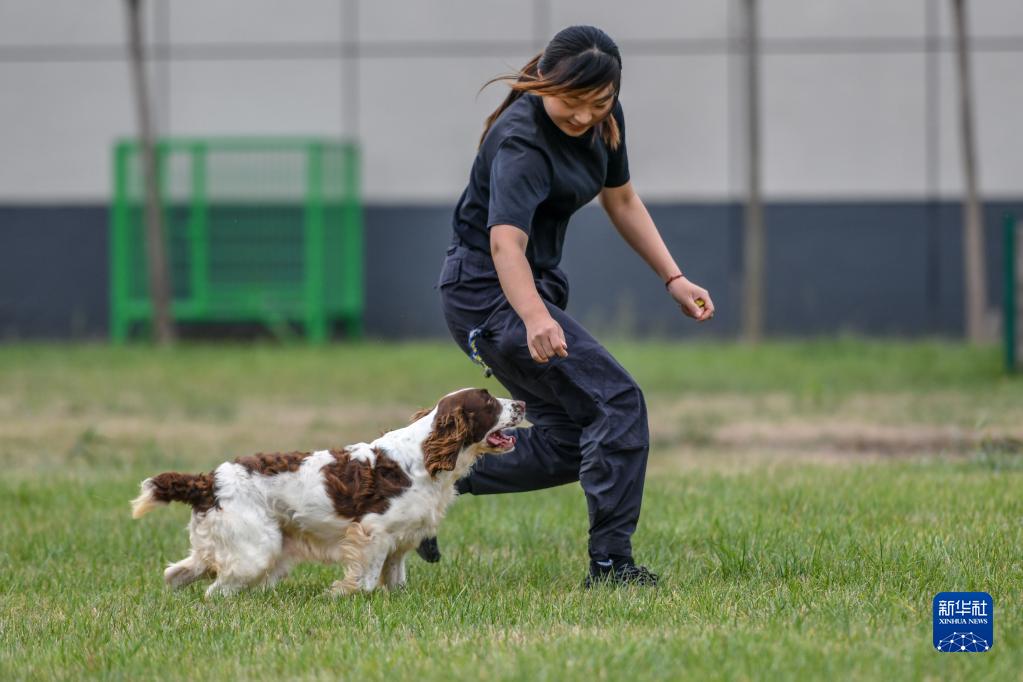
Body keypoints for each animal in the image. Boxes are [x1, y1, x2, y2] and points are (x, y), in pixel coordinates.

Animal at [131, 388, 526, 598]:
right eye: (489, 402)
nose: (522, 404)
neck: (422, 458)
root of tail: (208, 481)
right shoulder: (373, 532)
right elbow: (364, 581)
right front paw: (339, 593)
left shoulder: (401, 541)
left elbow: (395, 580)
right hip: (257, 550)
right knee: (215, 590)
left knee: (178, 573)